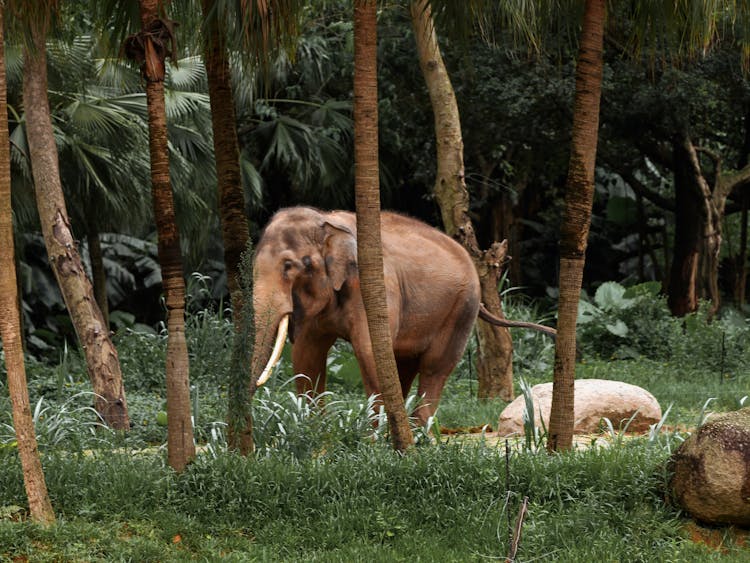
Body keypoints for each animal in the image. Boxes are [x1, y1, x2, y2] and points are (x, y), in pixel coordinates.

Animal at [254, 206, 560, 424]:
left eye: (289, 266)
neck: (327, 221)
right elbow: (306, 355)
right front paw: (317, 433)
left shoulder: (374, 287)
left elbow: (370, 354)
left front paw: (371, 442)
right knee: (404, 364)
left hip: (462, 307)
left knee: (435, 367)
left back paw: (418, 433)